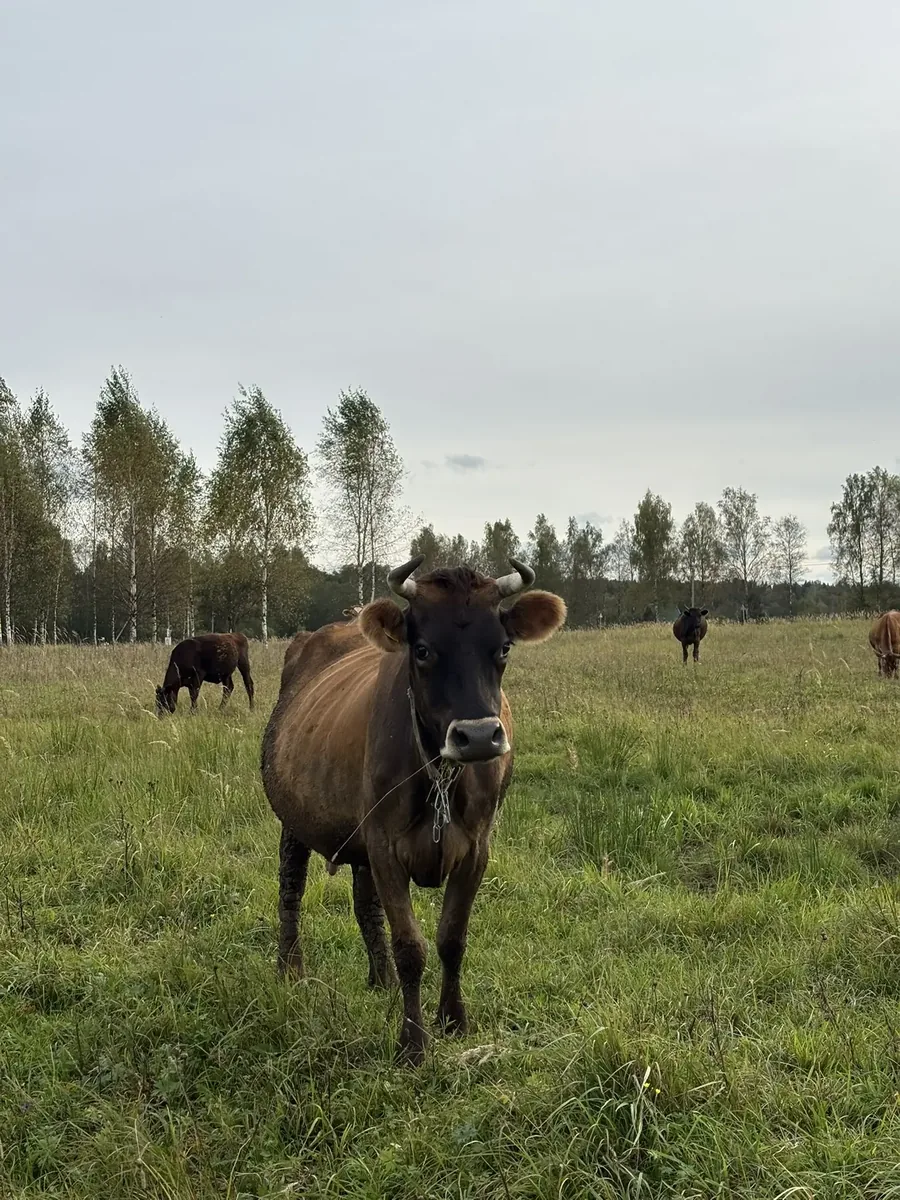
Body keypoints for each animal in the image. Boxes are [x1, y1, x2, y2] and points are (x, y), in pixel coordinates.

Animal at [260, 556, 566, 1065]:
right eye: (422, 650)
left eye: (503, 647)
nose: (478, 736)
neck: (440, 774)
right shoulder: (386, 847)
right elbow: (411, 946)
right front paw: (413, 1042)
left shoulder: (476, 847)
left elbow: (451, 938)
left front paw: (453, 1019)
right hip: (293, 817)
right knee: (291, 888)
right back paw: (290, 968)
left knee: (365, 904)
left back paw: (380, 978)